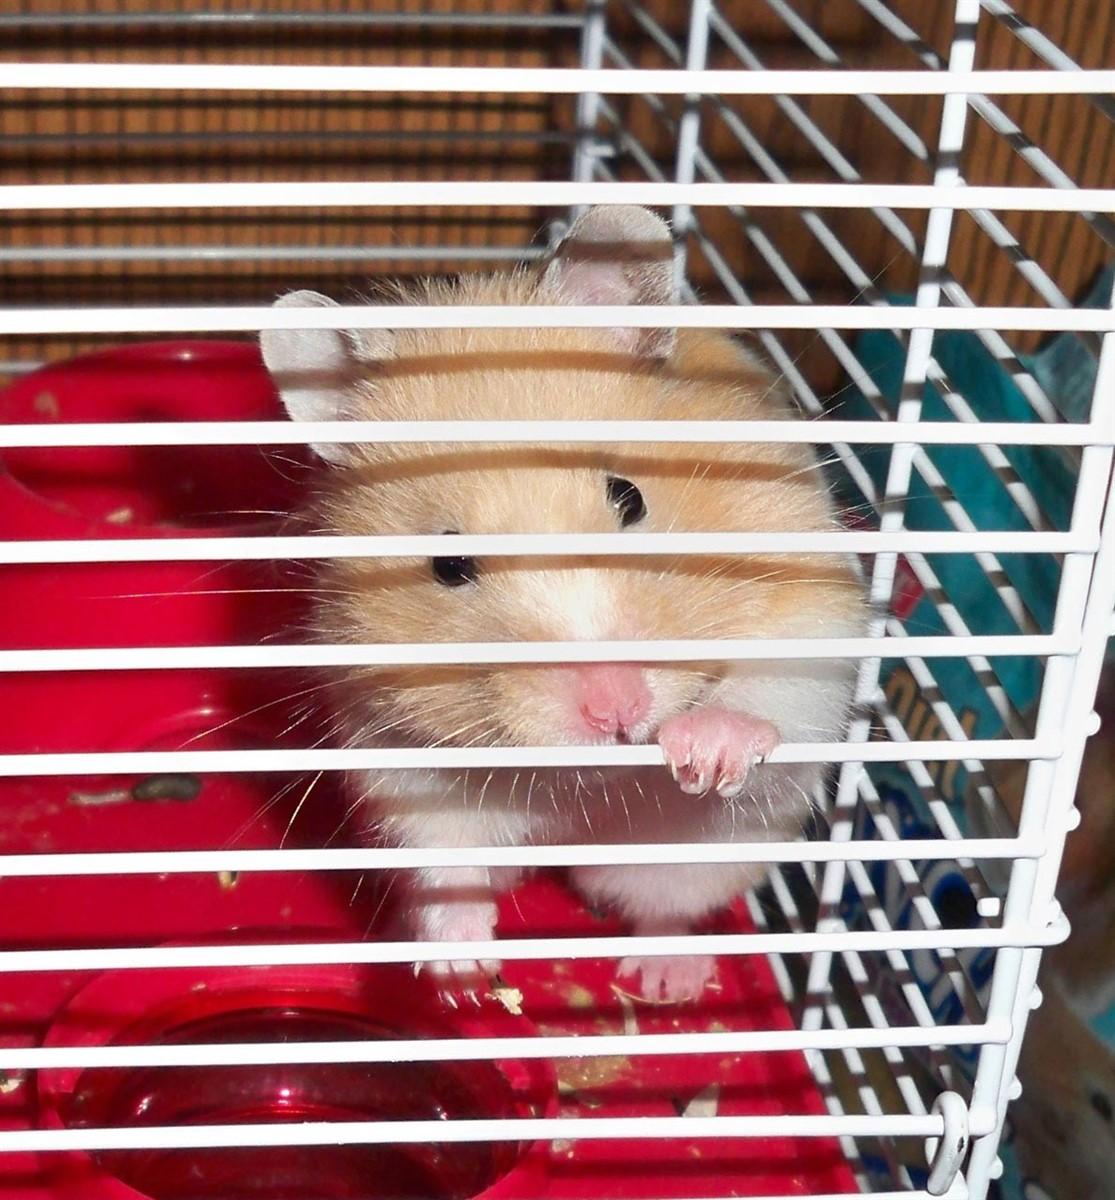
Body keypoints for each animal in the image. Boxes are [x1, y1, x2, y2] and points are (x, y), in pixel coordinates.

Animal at [259, 206, 859, 1003]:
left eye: (629, 497)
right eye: (448, 565)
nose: (616, 711)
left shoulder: (811, 600)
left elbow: (770, 687)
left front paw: (703, 752)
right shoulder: (391, 740)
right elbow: (443, 855)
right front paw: (461, 973)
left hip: (690, 856)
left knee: (665, 906)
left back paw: (666, 981)